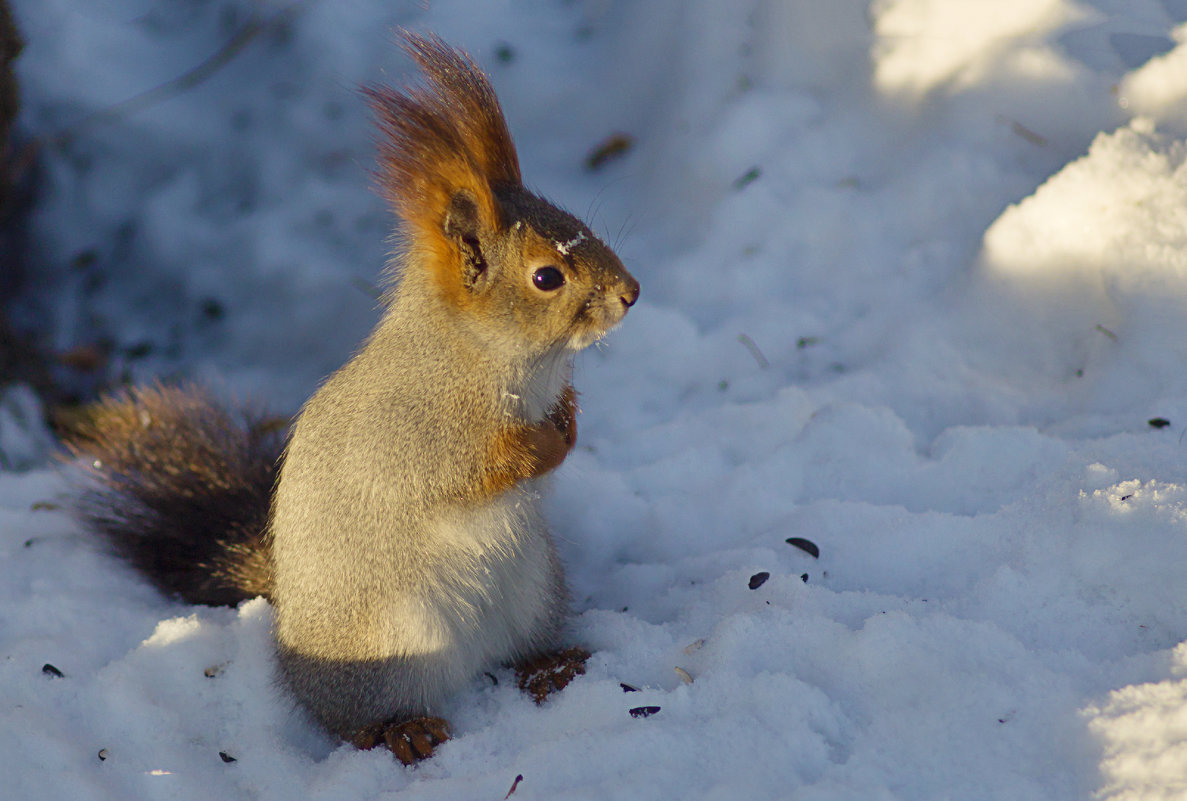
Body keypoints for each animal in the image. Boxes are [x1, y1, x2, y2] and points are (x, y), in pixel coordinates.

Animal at [67, 32, 640, 764]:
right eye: (547, 277)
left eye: (570, 218)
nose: (630, 292)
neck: (495, 361)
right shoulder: (414, 435)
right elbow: (469, 470)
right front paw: (540, 442)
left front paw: (567, 420)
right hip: (385, 639)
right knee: (351, 720)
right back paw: (403, 729)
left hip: (535, 593)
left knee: (519, 651)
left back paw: (551, 664)